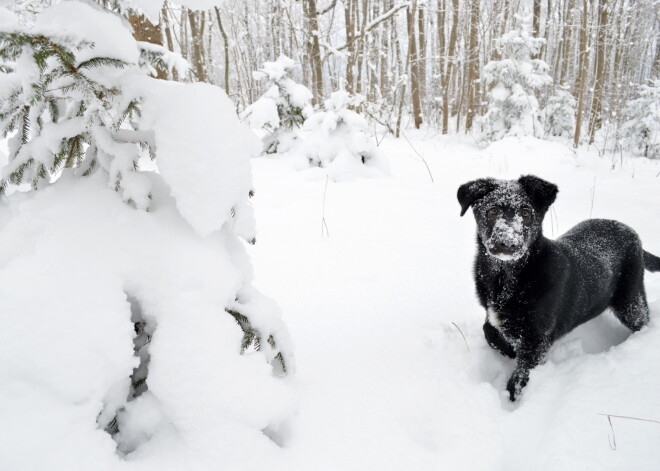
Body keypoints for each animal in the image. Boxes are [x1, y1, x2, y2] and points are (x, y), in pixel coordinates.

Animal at [458, 176, 660, 402]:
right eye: (492, 211)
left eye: (526, 213)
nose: (508, 244)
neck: (508, 278)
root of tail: (631, 232)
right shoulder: (493, 315)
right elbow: (488, 331)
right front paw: (509, 351)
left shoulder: (537, 340)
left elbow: (520, 377)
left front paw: (514, 402)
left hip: (629, 300)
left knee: (642, 320)